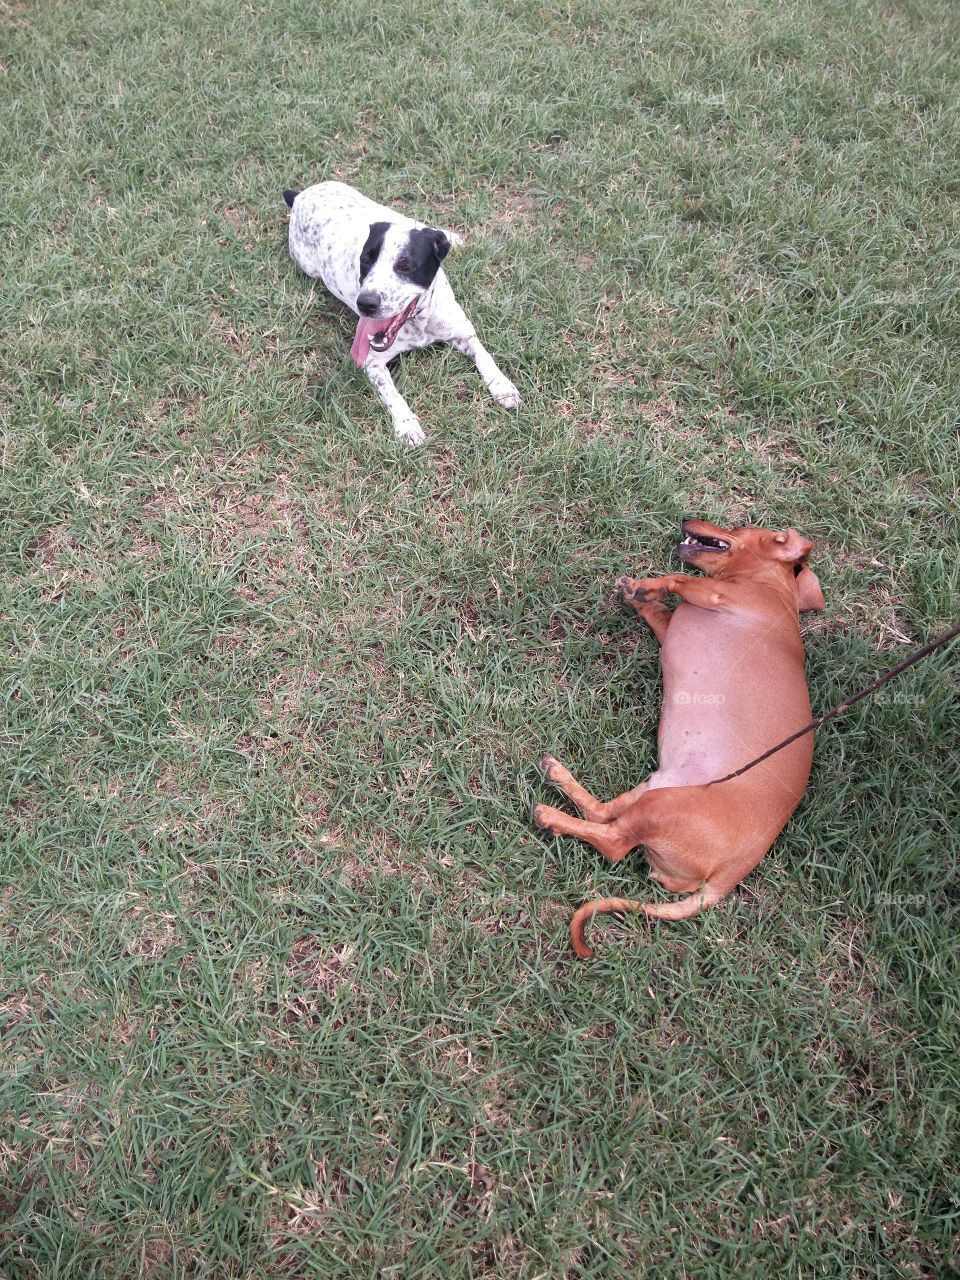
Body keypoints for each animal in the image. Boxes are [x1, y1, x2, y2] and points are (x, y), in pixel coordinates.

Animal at [285, 181, 522, 445]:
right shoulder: (372, 361)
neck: (419, 323)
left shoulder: (463, 331)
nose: (365, 303)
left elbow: (485, 356)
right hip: (308, 266)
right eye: (364, 260)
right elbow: (392, 394)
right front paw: (407, 425)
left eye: (405, 266)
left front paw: (502, 386)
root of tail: (301, 195)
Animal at [535, 514, 829, 957]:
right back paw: (557, 776)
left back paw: (551, 817)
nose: (689, 516)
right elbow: (660, 610)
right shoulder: (676, 622)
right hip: (655, 789)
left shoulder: (718, 596)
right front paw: (639, 595)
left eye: (742, 525)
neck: (768, 587)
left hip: (664, 805)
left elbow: (680, 578)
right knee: (603, 814)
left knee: (614, 843)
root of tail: (727, 877)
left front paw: (650, 584)